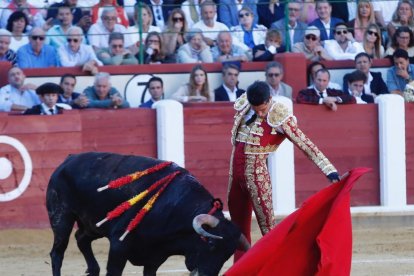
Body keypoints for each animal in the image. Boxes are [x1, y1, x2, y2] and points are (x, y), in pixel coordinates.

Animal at [46, 152, 249, 276]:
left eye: (229, 253)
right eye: (212, 244)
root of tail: (68, 159)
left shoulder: (156, 256)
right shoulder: (119, 245)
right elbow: (114, 271)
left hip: (93, 224)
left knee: (81, 238)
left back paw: (93, 269)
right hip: (61, 217)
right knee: (57, 252)